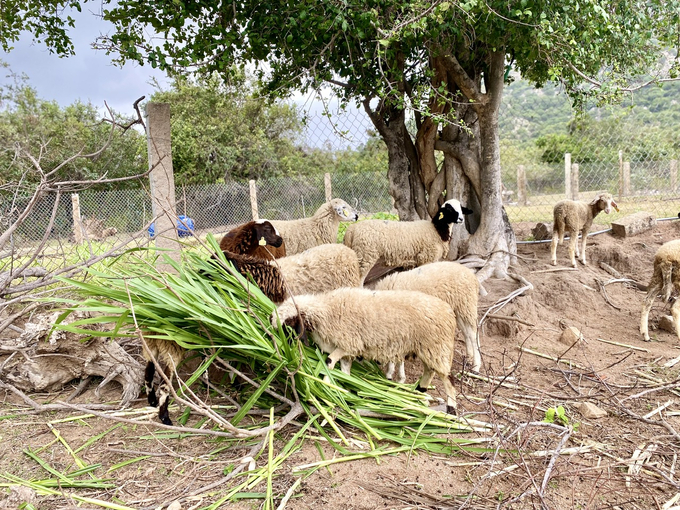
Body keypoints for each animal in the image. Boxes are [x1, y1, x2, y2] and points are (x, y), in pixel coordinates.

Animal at [274, 286, 460, 414]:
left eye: (287, 326)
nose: (283, 349)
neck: (325, 311)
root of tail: (449, 312)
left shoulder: (349, 343)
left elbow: (329, 360)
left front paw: (327, 384)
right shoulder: (347, 350)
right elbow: (344, 370)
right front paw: (344, 390)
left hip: (437, 347)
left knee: (448, 379)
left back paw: (451, 407)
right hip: (428, 349)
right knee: (430, 371)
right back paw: (420, 394)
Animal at [342, 197, 470, 280]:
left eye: (461, 209)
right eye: (449, 210)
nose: (461, 219)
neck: (436, 229)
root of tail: (351, 229)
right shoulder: (426, 257)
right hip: (365, 255)